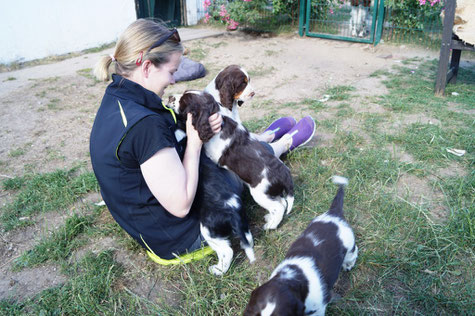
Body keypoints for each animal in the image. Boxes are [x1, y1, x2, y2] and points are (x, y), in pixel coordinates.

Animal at [167, 90, 294, 231]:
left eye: (183, 101)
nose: (170, 97)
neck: (218, 120)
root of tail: (285, 174)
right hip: (269, 193)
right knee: (282, 202)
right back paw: (270, 218)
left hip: (260, 193)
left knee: (279, 206)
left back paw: (271, 225)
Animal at [244, 177, 358, 314]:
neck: (292, 278)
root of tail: (334, 213)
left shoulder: (318, 309)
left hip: (349, 245)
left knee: (353, 253)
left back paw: (348, 265)